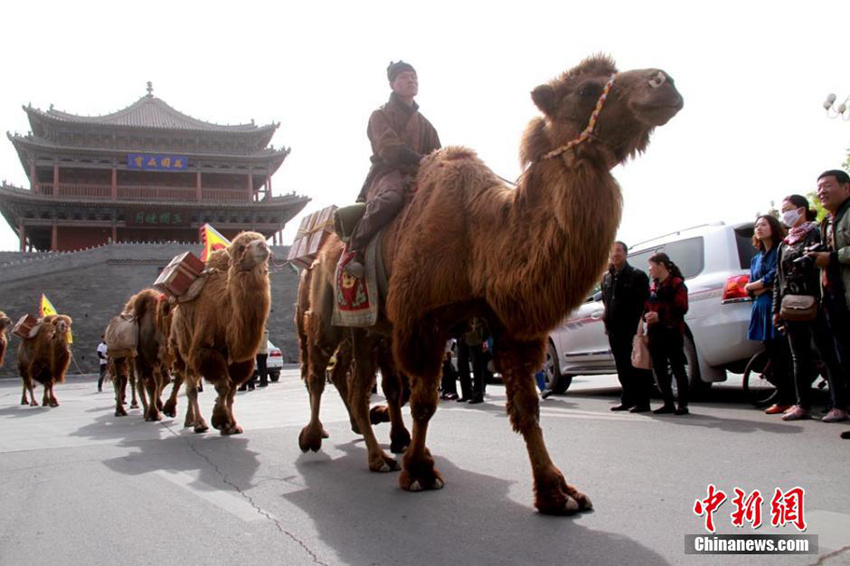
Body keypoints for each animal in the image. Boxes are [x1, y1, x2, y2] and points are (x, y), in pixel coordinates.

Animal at [175, 231, 274, 434]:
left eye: (262, 239)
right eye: (240, 248)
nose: (263, 246)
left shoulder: (239, 358)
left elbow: (231, 390)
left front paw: (233, 425)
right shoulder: (205, 349)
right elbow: (222, 386)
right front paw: (220, 420)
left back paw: (189, 420)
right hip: (186, 346)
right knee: (191, 386)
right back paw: (198, 423)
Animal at [294, 246, 410, 472]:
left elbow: (395, 387)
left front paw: (398, 436)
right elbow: (393, 386)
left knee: (337, 373)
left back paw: (355, 424)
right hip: (317, 327)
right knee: (316, 376)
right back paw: (312, 435)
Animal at [328, 54, 680, 516]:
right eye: (587, 89)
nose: (664, 82)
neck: (481, 239)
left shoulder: (511, 323)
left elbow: (528, 408)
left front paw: (557, 491)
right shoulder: (424, 320)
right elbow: (425, 402)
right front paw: (420, 472)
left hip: (382, 329)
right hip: (359, 322)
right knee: (357, 383)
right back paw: (376, 455)